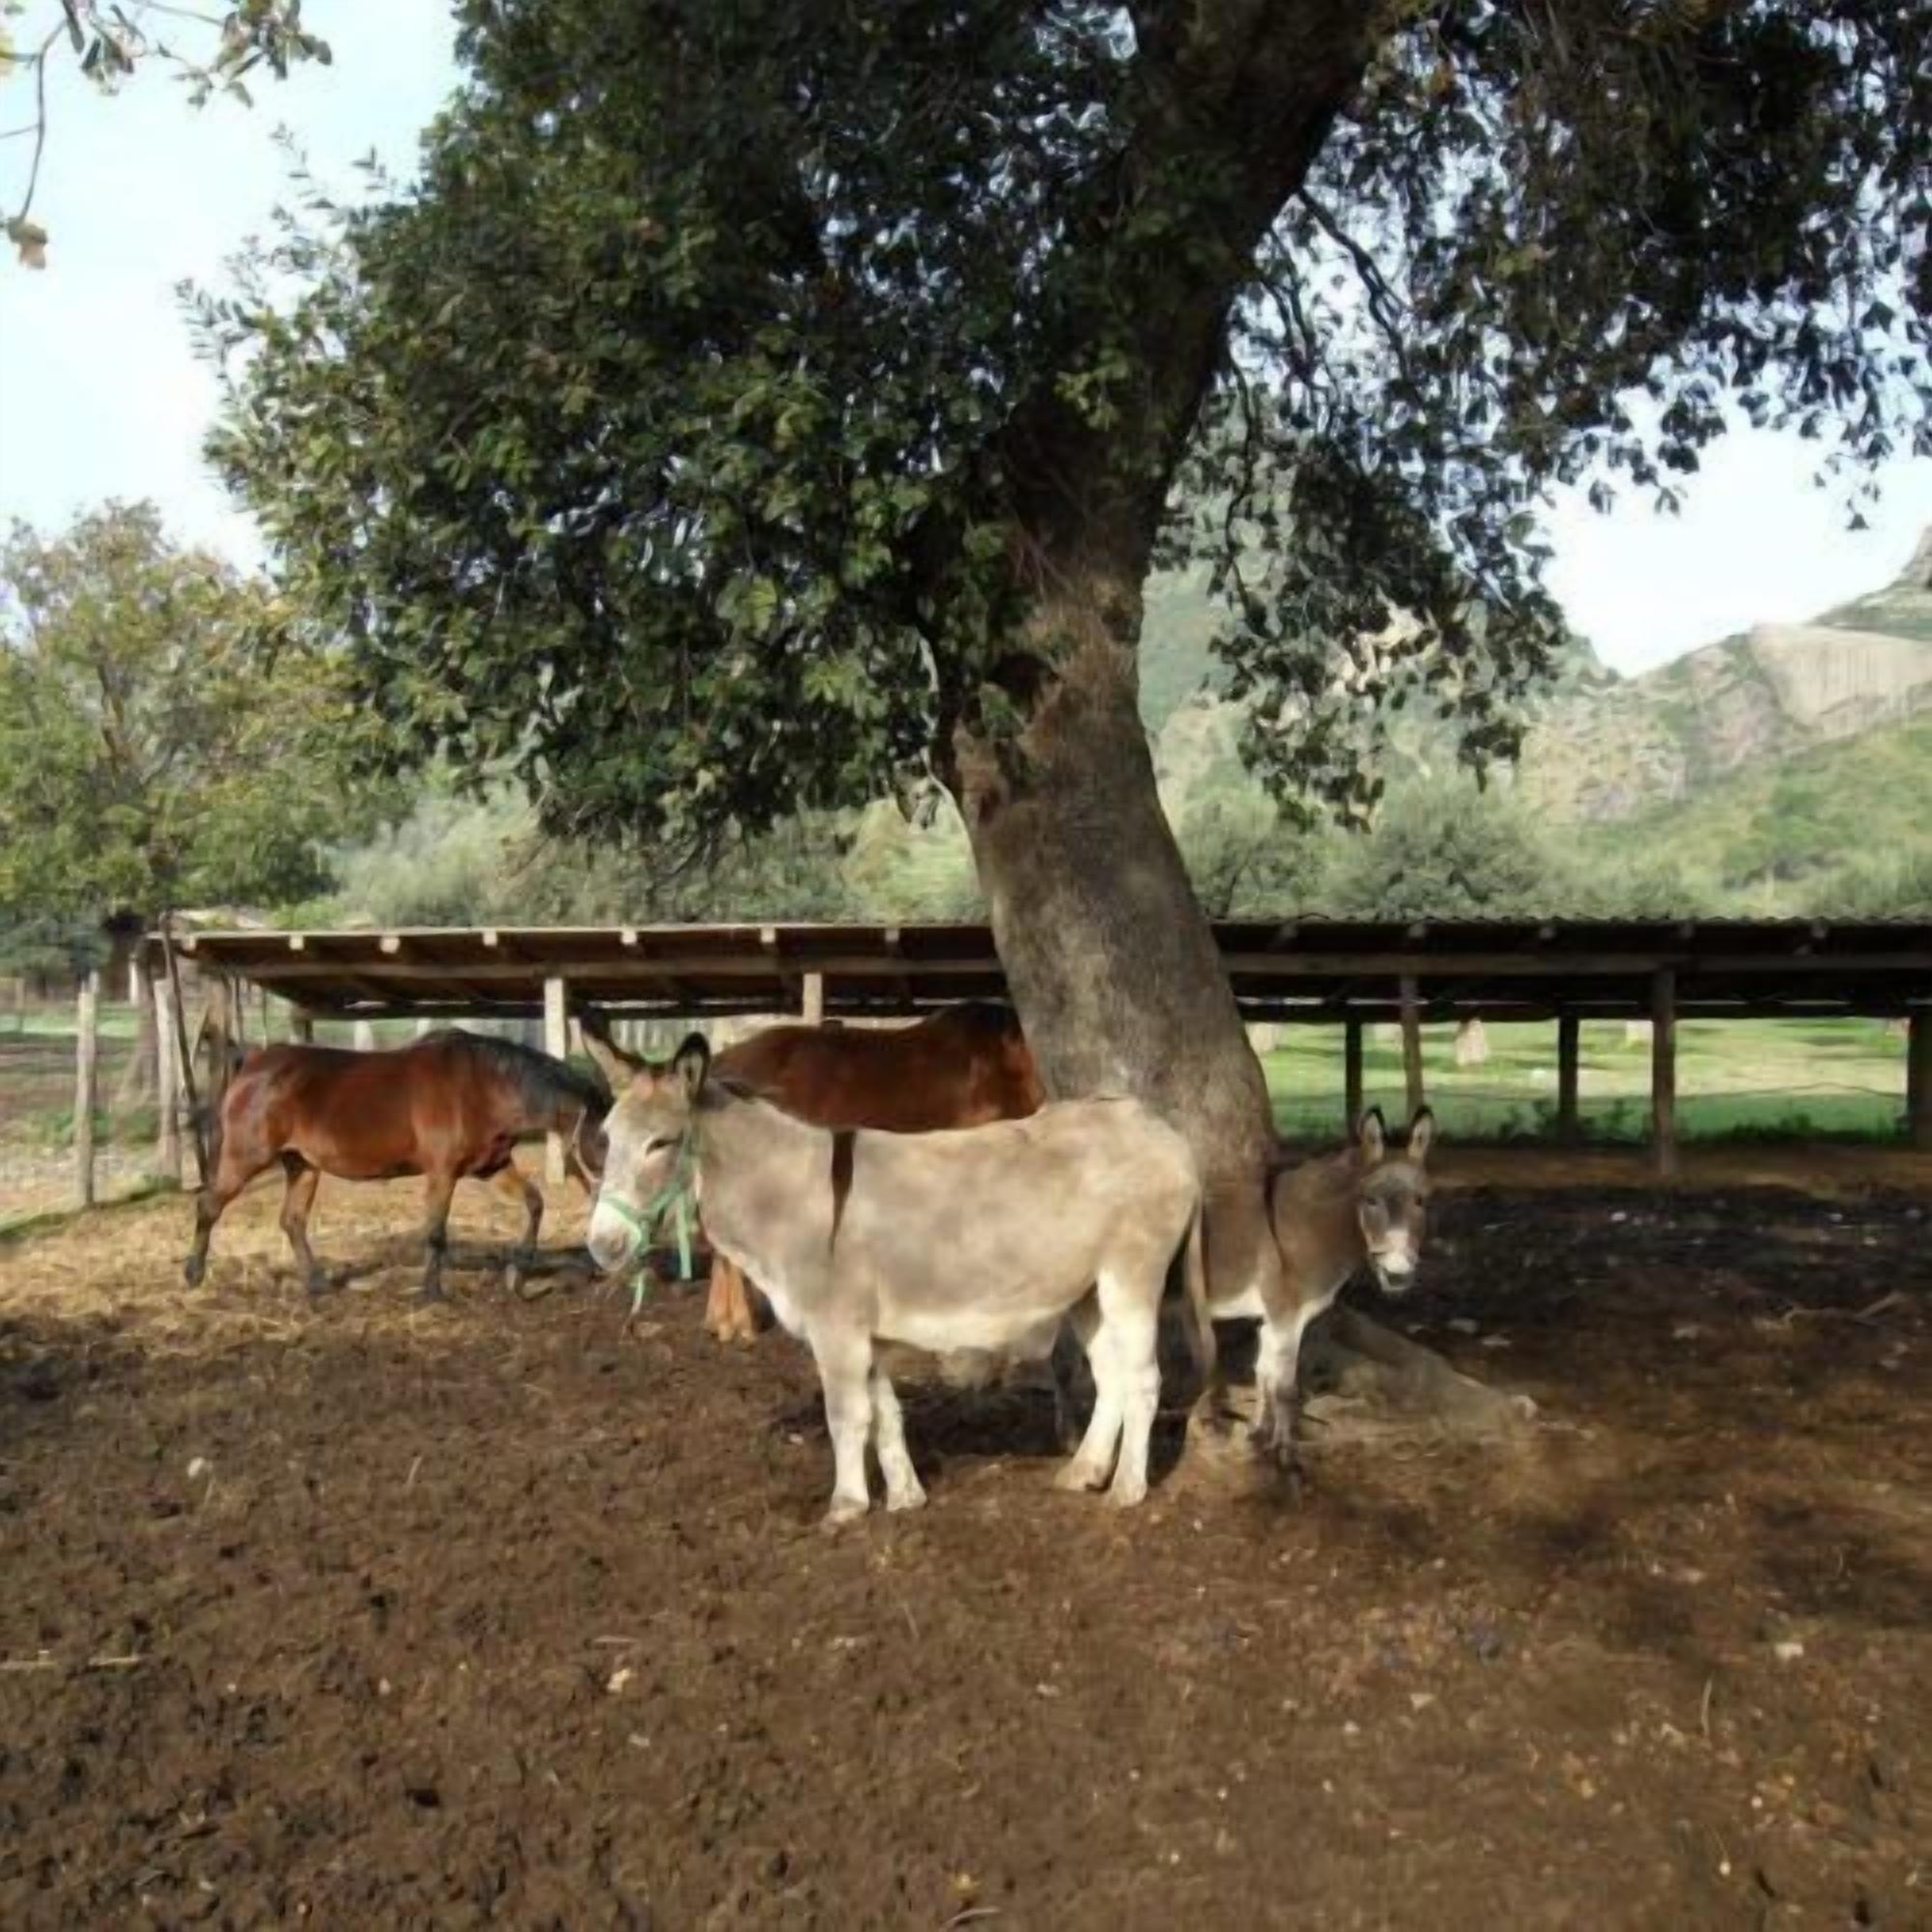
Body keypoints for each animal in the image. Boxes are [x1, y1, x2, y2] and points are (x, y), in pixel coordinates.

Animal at [182, 1030, 610, 1300]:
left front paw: (518, 1272)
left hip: (302, 1166)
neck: (481, 1085)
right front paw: (433, 1291)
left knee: (292, 1221)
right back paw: (193, 1273)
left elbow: (535, 1202)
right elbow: (436, 1232)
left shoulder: (491, 1166)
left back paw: (317, 1285)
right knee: (208, 1205)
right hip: (246, 1158)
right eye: (606, 1138)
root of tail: (252, 1063)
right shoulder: (443, 1173)